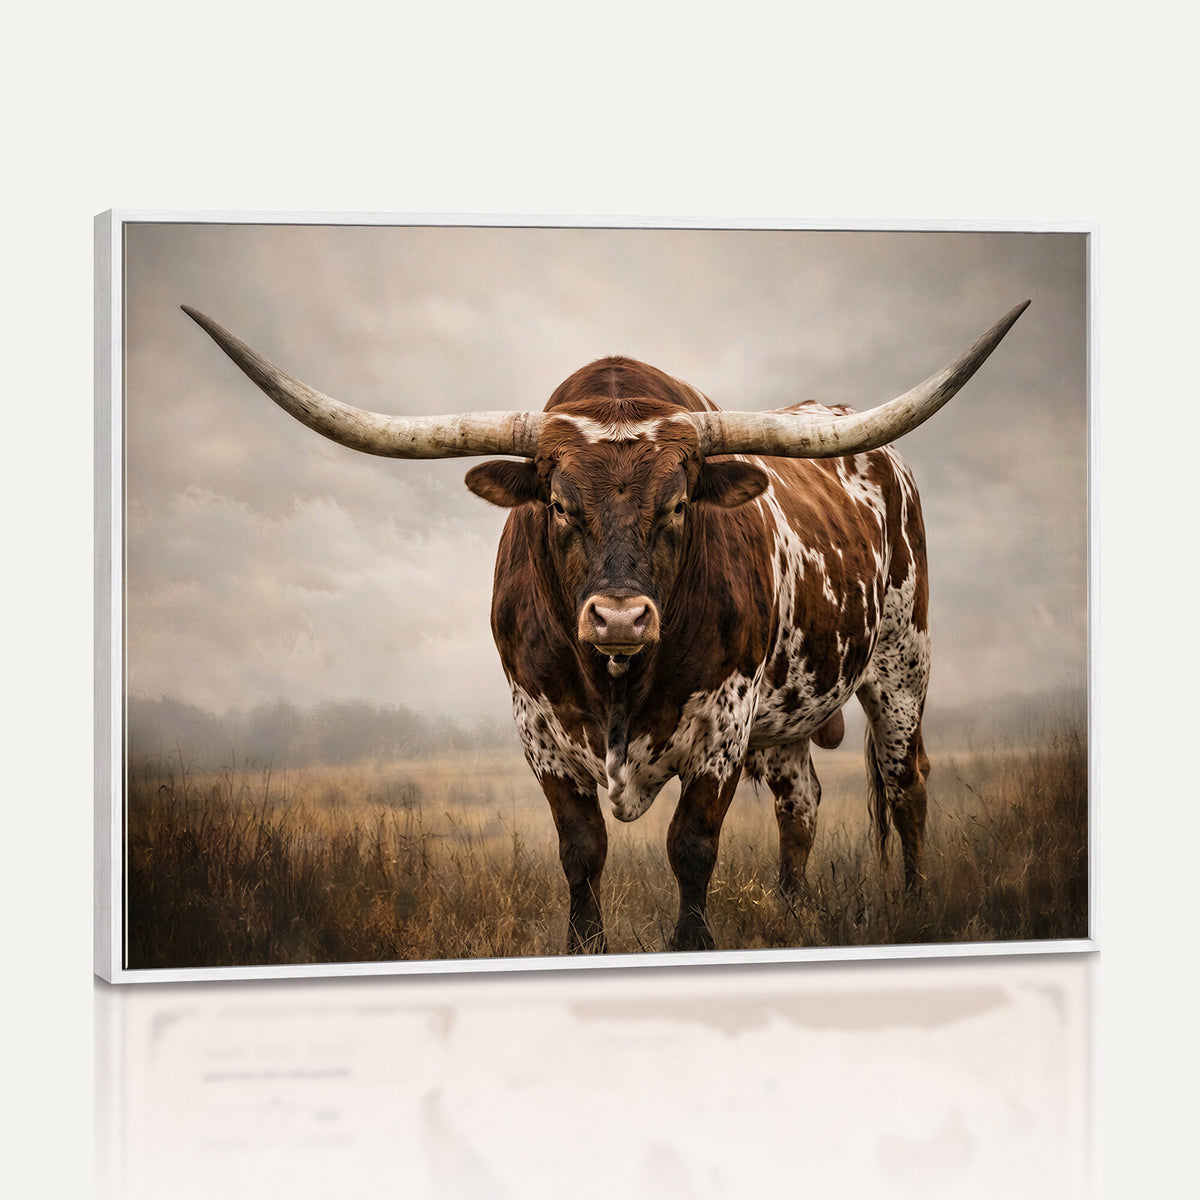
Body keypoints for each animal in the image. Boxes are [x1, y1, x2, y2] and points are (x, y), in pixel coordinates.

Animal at [184, 299, 1028, 953]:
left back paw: (914, 906)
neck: (619, 680)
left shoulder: (723, 726)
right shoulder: (539, 729)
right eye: (559, 506)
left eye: (679, 505)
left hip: (901, 666)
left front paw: (693, 944)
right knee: (802, 803)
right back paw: (793, 913)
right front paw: (583, 945)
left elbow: (692, 847)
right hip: (789, 715)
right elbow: (582, 852)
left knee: (906, 781)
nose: (620, 616)